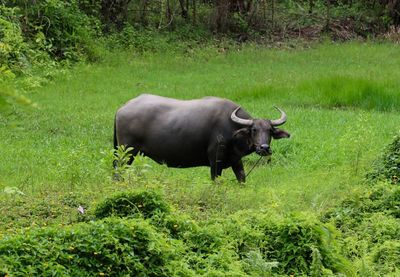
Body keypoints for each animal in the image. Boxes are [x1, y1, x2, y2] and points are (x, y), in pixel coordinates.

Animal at [114, 94, 290, 182]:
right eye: (254, 130)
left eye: (270, 130)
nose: (264, 148)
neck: (232, 128)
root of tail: (122, 108)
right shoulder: (215, 160)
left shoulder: (235, 160)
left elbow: (242, 179)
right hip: (127, 152)